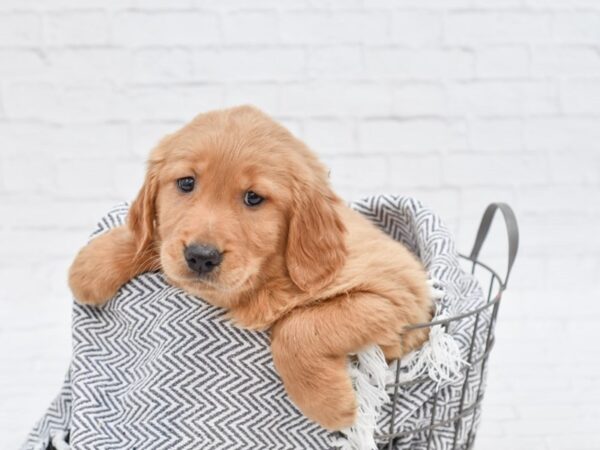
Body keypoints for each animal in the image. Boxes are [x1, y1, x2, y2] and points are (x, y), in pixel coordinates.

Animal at [69, 106, 432, 432]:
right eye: (186, 183)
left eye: (254, 198)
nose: (201, 256)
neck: (267, 278)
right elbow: (152, 239)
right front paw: (91, 265)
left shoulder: (403, 296)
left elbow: (297, 326)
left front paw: (331, 405)